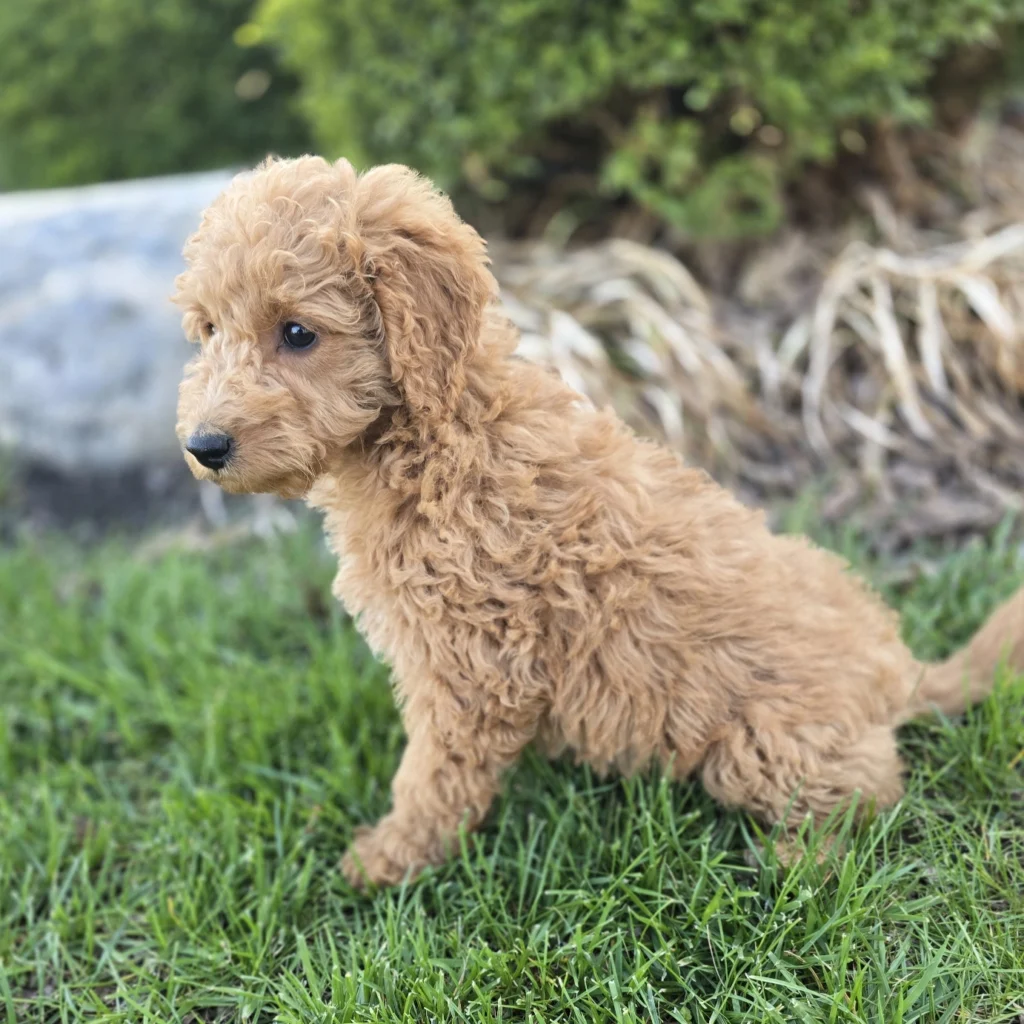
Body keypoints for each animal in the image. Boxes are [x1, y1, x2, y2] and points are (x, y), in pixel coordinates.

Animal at [174, 155, 1024, 887]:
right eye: (210, 330)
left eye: (298, 333)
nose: (202, 447)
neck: (440, 435)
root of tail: (898, 670)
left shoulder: (473, 668)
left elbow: (433, 777)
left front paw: (388, 860)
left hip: (762, 742)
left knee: (873, 789)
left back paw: (797, 860)